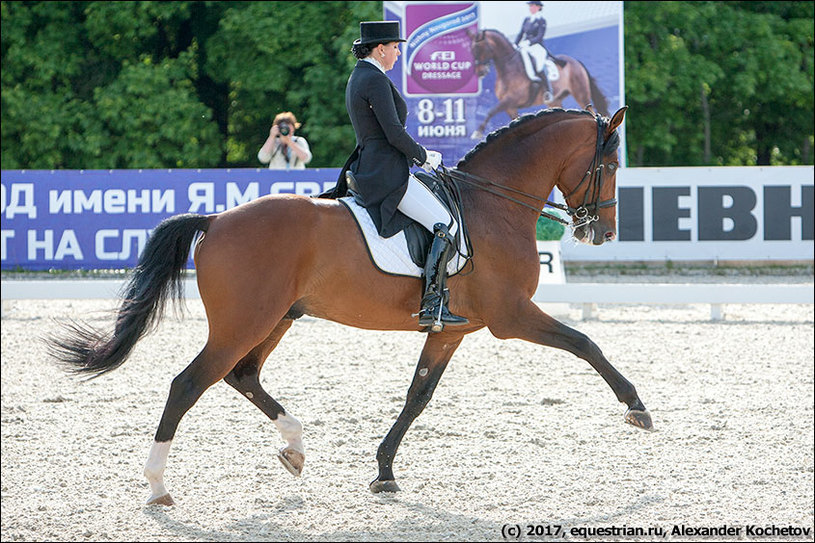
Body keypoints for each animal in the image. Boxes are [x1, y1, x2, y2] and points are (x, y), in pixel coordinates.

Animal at [49, 107, 652, 510]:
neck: (492, 204)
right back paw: (157, 486)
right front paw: (637, 408)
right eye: (610, 163)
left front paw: (384, 471)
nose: (603, 233)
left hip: (277, 318)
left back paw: (294, 447)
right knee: (188, 383)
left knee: (243, 375)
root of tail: (216, 219)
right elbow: (586, 343)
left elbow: (418, 395)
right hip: (243, 322)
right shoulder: (511, 316)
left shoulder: (452, 329)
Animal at [468, 28, 608, 139]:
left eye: (480, 48)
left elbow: (491, 111)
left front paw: (477, 132)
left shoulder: (511, 99)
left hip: (581, 94)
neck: (508, 68)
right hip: (555, 100)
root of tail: (576, 61)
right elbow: (512, 120)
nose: (480, 72)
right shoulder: (510, 107)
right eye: (472, 50)